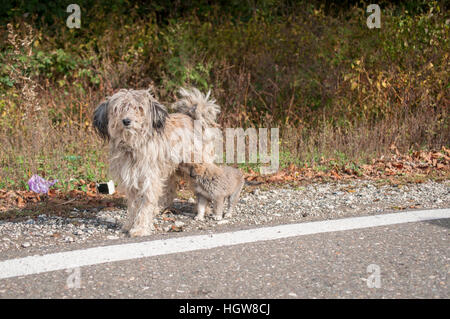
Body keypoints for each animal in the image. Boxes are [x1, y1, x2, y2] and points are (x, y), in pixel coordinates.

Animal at [94, 87, 221, 238]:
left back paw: (204, 209)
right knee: (170, 190)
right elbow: (133, 206)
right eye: (118, 108)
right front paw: (130, 224)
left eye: (139, 108)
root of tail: (194, 118)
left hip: (197, 166)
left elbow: (145, 205)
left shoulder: (149, 178)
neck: (134, 145)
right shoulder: (131, 180)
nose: (126, 121)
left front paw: (140, 228)